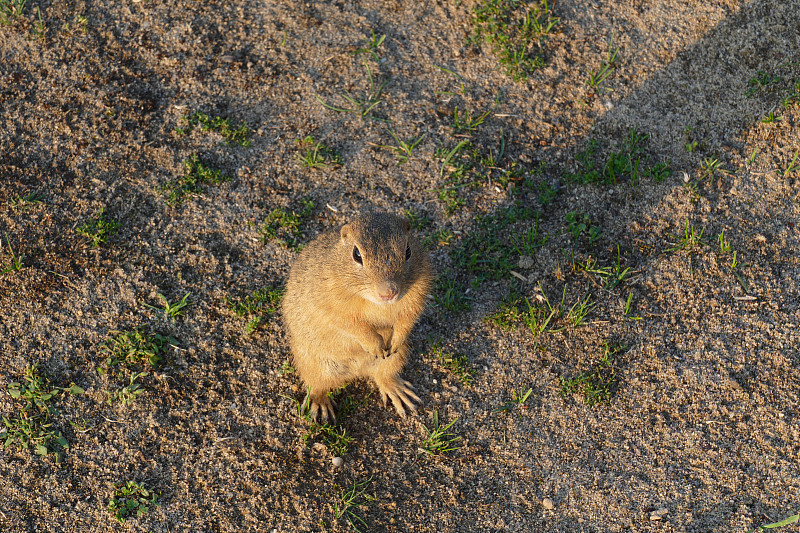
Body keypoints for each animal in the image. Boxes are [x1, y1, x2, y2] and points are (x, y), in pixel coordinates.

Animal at [282, 210, 432, 422]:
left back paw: (398, 392)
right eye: (357, 254)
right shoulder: (332, 305)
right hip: (313, 363)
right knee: (317, 387)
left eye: (408, 251)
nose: (389, 292)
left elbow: (408, 317)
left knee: (384, 376)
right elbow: (353, 324)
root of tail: (356, 371)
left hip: (397, 358)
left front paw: (395, 340)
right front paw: (374, 344)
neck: (376, 303)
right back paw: (322, 407)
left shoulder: (419, 290)